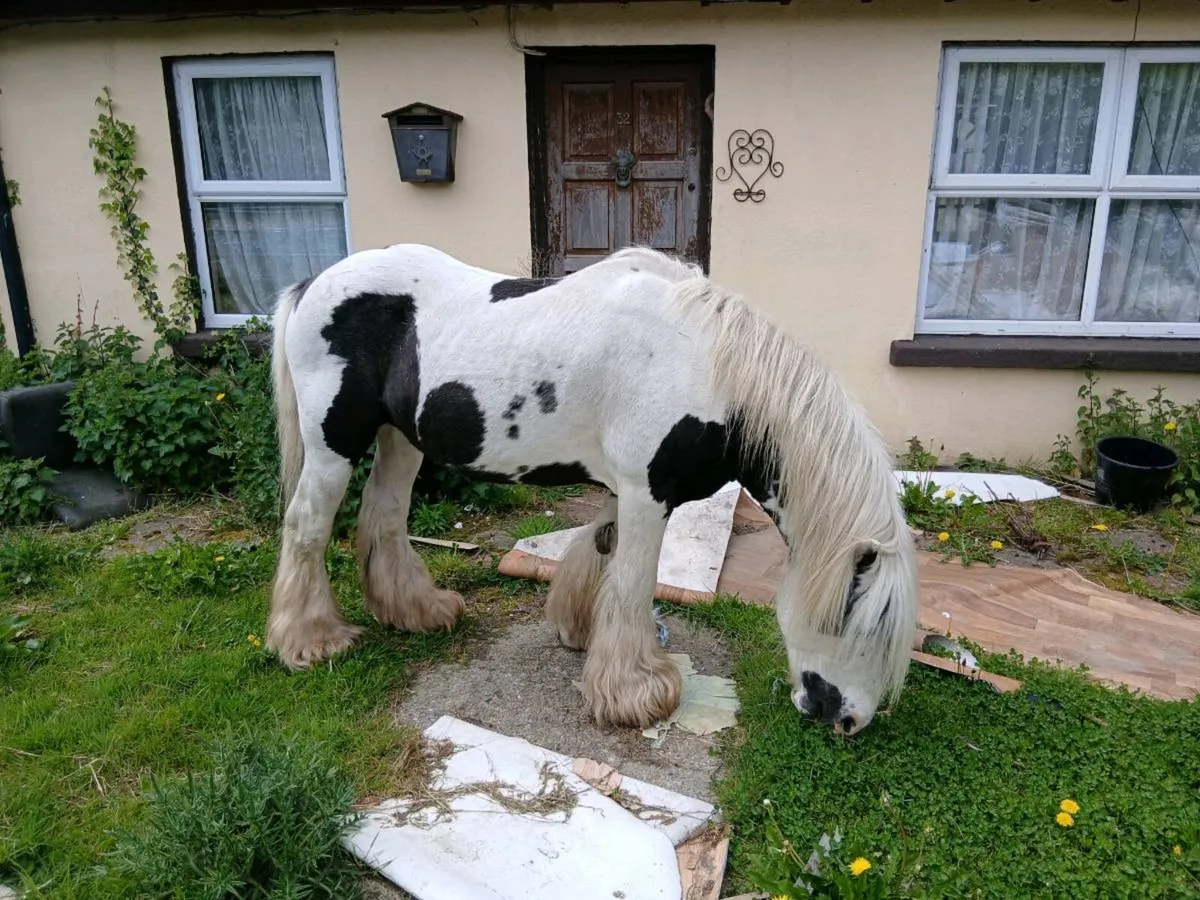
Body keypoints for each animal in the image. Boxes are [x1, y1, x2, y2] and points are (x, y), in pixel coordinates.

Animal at [266, 242, 919, 736]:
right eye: (860, 621)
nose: (848, 721)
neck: (707, 367)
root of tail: (312, 284)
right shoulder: (649, 494)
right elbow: (632, 583)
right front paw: (636, 693)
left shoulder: (625, 489)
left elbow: (600, 552)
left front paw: (581, 635)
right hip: (333, 446)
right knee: (307, 526)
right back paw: (311, 641)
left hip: (401, 439)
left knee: (384, 517)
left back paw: (417, 612)